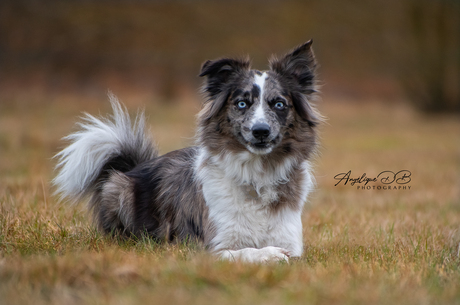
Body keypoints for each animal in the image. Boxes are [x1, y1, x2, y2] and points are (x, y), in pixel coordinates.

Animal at [53, 40, 320, 262]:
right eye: (242, 103)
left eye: (279, 104)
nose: (261, 131)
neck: (257, 175)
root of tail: (132, 167)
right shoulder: (212, 248)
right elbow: (245, 251)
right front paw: (269, 254)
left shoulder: (293, 243)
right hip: (118, 189)